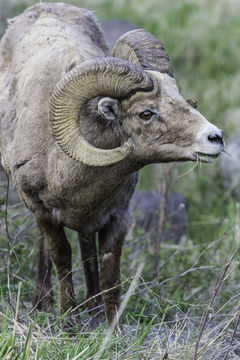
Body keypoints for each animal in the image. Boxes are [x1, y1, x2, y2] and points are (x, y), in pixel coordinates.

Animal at [0, 2, 225, 324]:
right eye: (146, 113)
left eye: (184, 100)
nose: (215, 137)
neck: (64, 169)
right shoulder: (44, 212)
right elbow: (61, 258)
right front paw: (69, 322)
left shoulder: (117, 217)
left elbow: (109, 274)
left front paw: (110, 327)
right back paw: (42, 305)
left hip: (89, 222)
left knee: (87, 249)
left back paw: (90, 309)